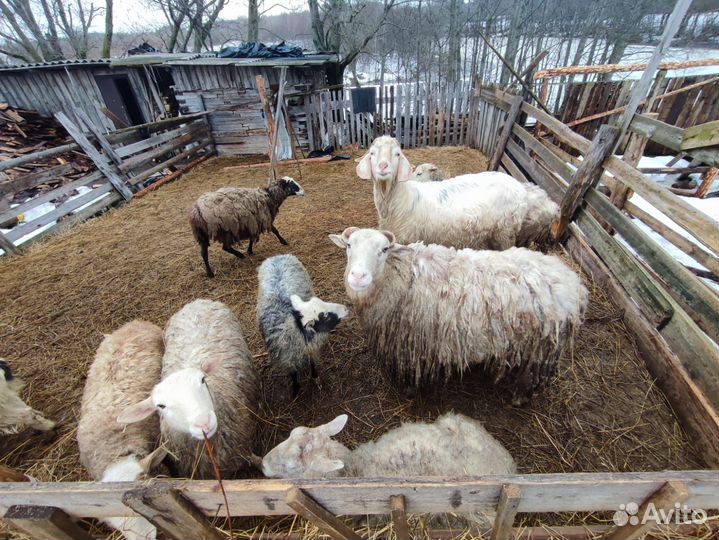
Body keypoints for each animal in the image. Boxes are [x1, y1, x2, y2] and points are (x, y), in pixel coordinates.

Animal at [257, 254, 349, 396]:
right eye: (325, 315)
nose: (346, 308)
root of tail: (277, 256)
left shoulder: (311, 348)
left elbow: (313, 363)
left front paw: (315, 378)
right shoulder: (287, 357)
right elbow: (293, 373)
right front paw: (295, 390)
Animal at [329, 227, 588, 405]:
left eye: (384, 250)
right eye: (349, 246)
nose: (358, 276)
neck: (402, 276)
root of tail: (573, 283)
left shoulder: (412, 343)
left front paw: (411, 391)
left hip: (543, 346)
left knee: (531, 374)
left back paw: (519, 397)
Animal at [357, 136, 558, 250]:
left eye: (397, 154)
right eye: (372, 153)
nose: (383, 167)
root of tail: (519, 186)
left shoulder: (409, 239)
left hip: (505, 232)